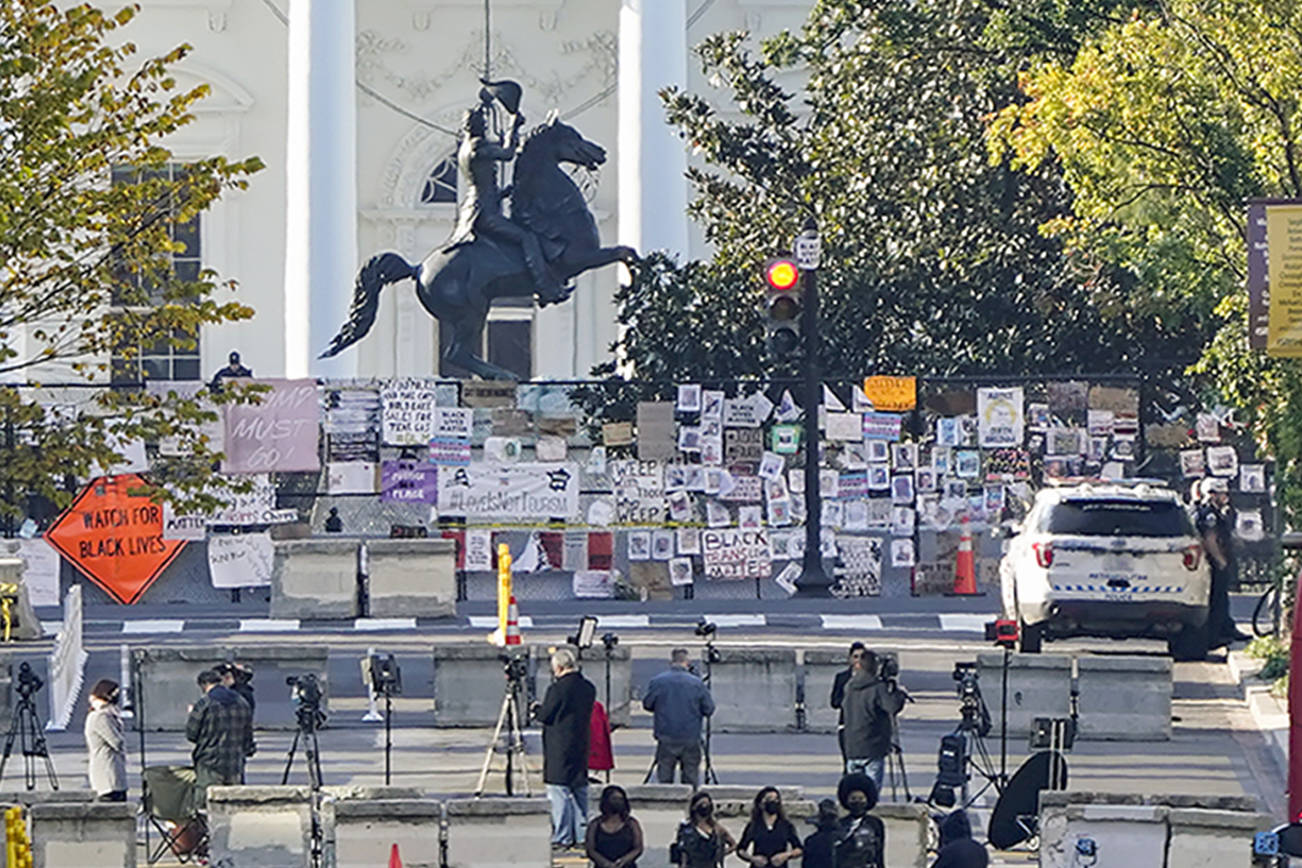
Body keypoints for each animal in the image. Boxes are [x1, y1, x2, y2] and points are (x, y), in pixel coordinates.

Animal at [320, 113, 635, 377]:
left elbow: (626, 251)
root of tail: (418, 267)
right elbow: (623, 251)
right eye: (573, 136)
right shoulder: (580, 258)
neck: (554, 211)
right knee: (456, 353)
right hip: (472, 310)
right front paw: (634, 279)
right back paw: (501, 374)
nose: (602, 152)